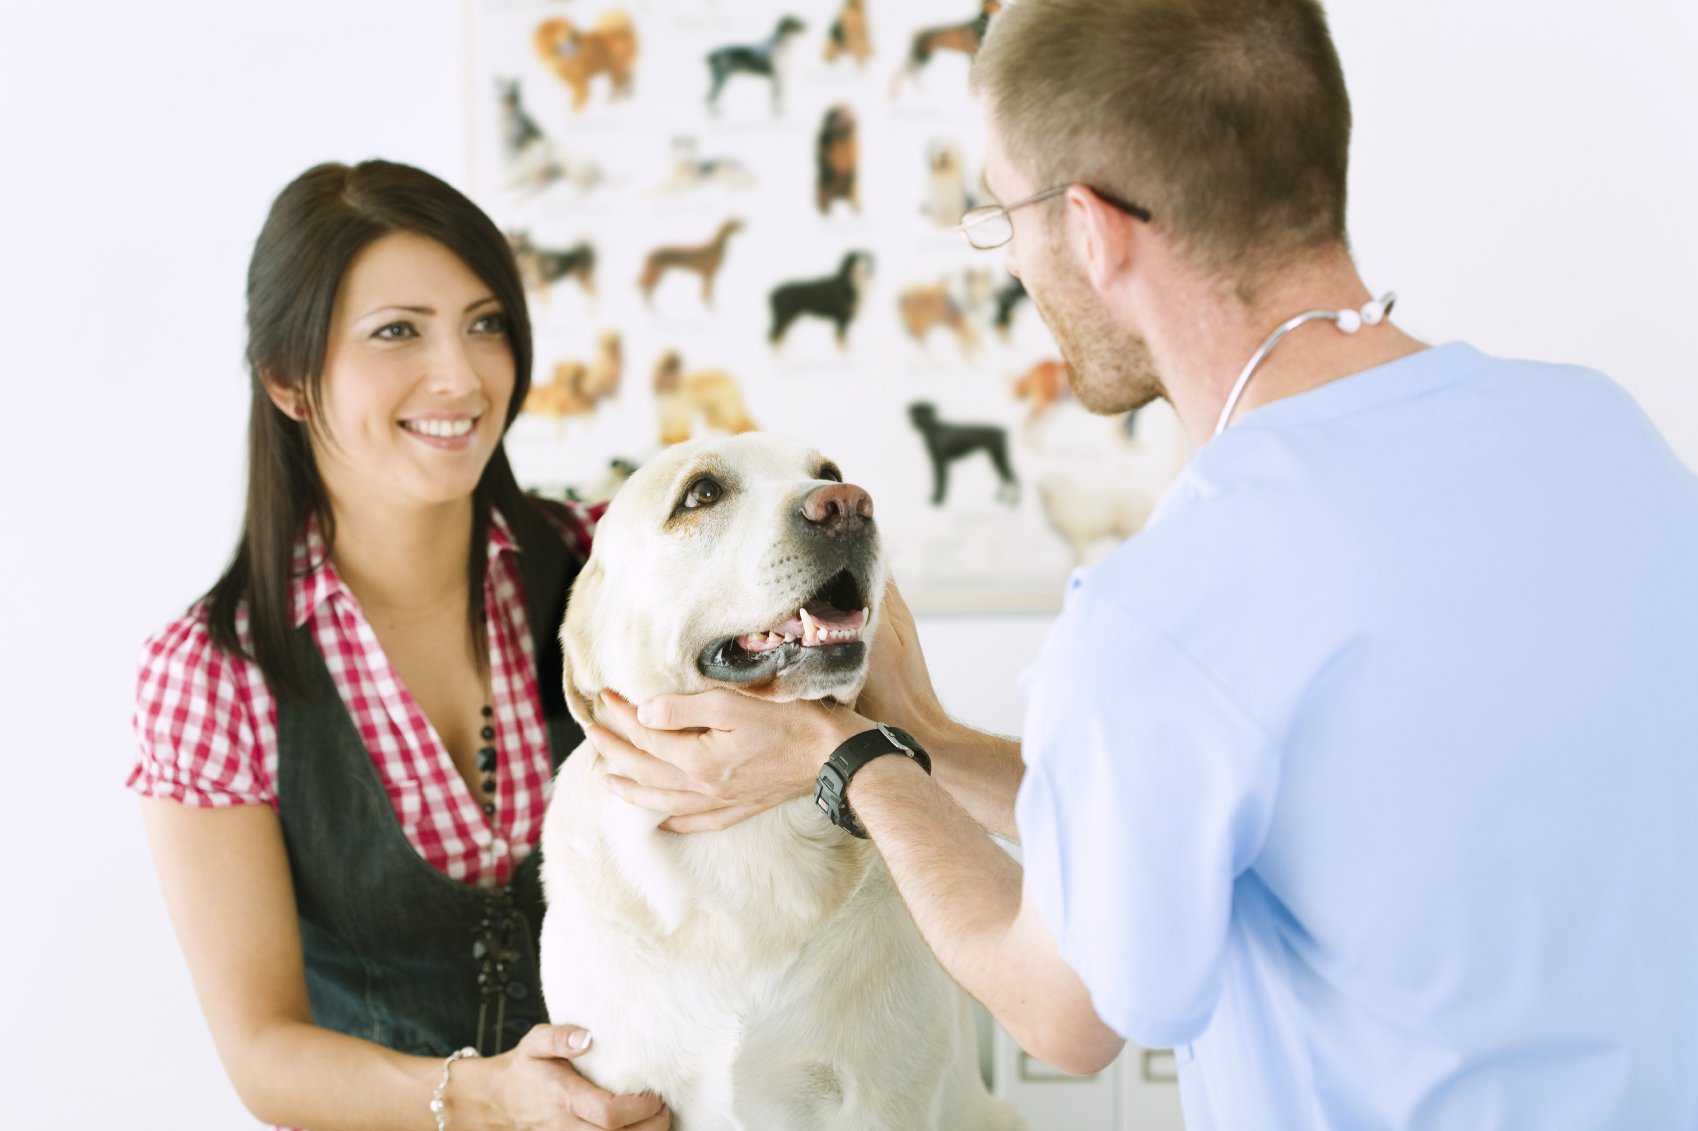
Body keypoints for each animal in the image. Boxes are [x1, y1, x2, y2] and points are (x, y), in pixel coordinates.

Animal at [536, 431, 1025, 1127]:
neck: (752, 840)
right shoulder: (618, 1090)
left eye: (829, 471)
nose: (847, 504)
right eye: (701, 493)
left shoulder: (886, 1099)